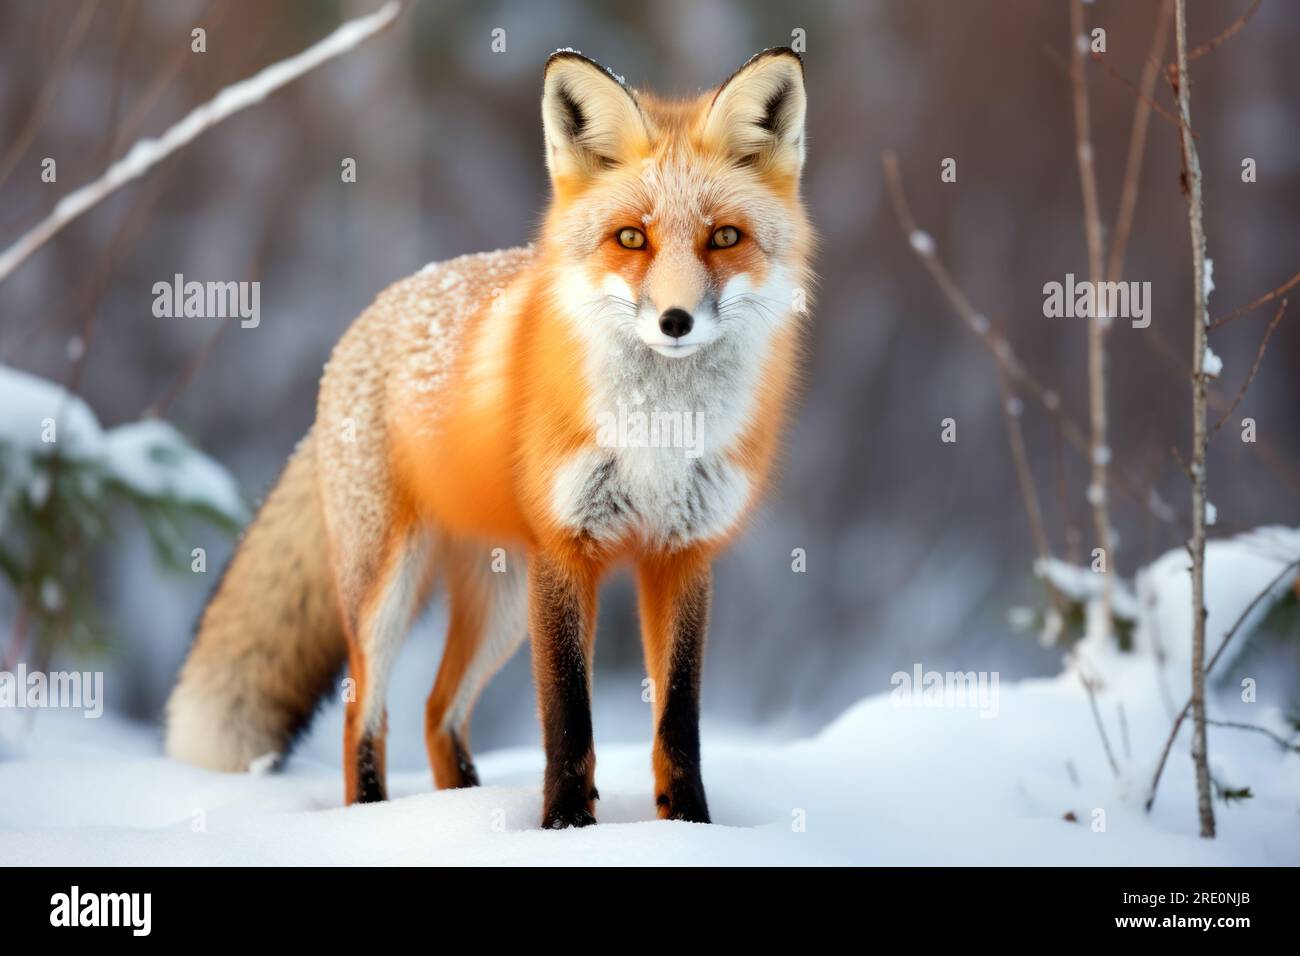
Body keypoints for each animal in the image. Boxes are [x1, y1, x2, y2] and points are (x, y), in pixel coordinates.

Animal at [165, 47, 814, 828]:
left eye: (724, 237)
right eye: (632, 238)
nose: (676, 321)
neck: (657, 431)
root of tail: (365, 320)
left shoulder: (682, 553)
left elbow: (678, 723)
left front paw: (690, 829)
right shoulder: (566, 551)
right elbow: (568, 720)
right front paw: (564, 829)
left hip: (501, 605)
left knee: (437, 710)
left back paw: (466, 806)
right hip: (390, 588)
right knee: (366, 714)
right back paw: (373, 816)